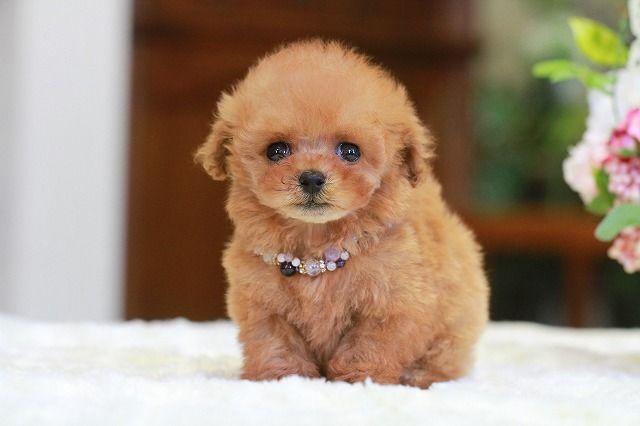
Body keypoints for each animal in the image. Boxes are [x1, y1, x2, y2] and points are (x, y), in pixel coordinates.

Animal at [195, 40, 489, 388]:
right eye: (276, 150)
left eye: (350, 151)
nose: (311, 177)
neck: (315, 246)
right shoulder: (262, 303)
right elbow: (275, 343)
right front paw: (280, 377)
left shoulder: (394, 303)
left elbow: (368, 345)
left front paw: (359, 379)